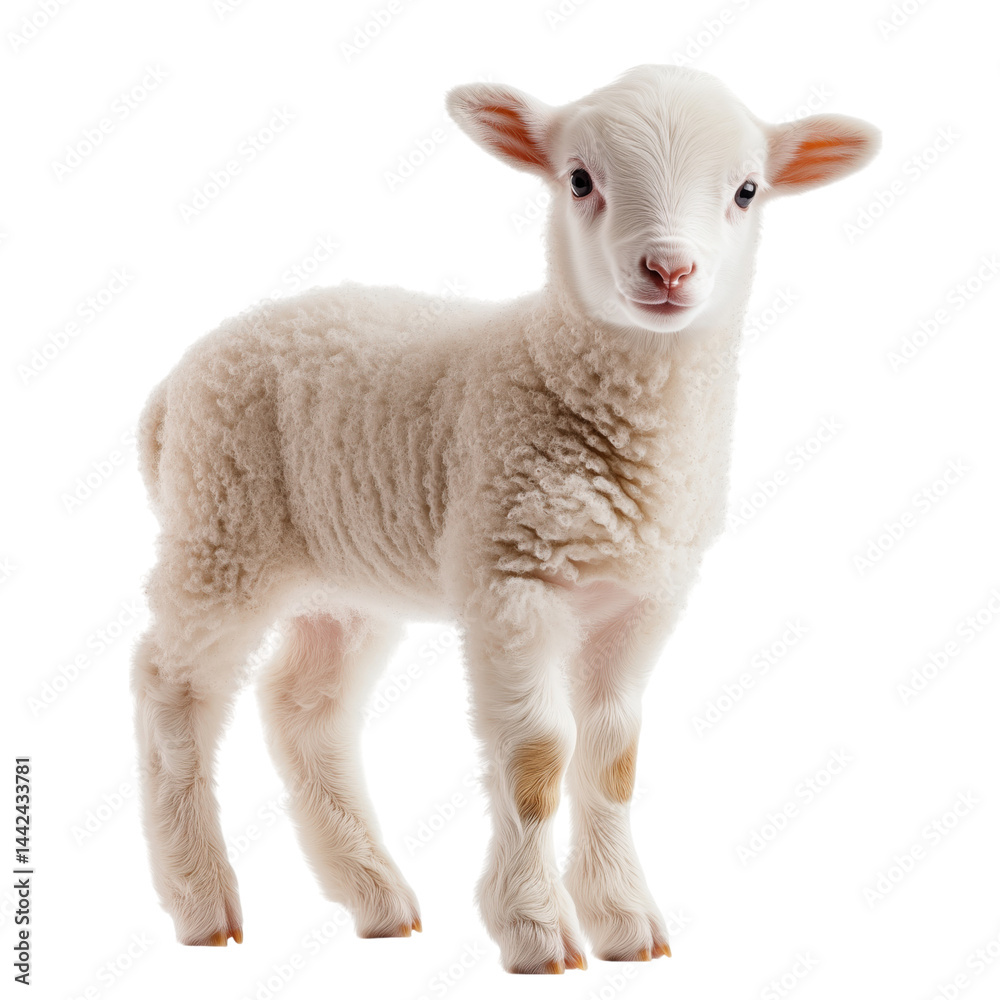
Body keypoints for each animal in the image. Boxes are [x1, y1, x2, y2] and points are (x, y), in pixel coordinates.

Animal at [131, 64, 879, 974]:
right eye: (580, 180)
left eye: (747, 190)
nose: (669, 270)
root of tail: (172, 391)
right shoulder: (510, 579)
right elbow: (536, 759)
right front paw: (535, 929)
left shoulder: (642, 598)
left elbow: (613, 757)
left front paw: (624, 920)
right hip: (222, 524)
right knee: (172, 689)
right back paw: (201, 900)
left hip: (342, 577)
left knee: (304, 706)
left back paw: (375, 895)